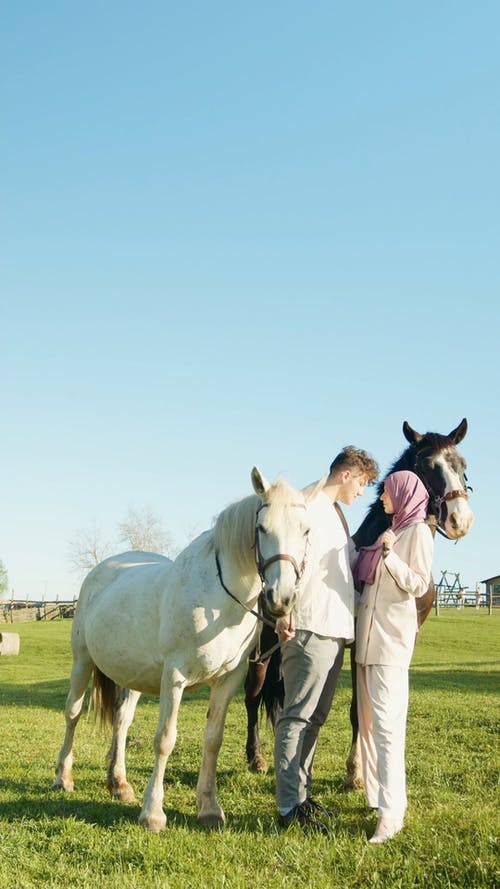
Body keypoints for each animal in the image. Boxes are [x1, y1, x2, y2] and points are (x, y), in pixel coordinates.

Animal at [52, 468, 322, 828]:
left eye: (306, 530)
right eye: (262, 528)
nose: (280, 599)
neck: (219, 602)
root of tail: (101, 570)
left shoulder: (228, 681)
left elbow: (213, 740)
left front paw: (209, 808)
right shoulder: (175, 676)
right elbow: (165, 740)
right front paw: (153, 813)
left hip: (132, 675)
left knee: (121, 722)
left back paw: (119, 783)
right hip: (82, 662)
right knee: (73, 713)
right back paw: (63, 777)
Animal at [244, 416, 474, 776]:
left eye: (462, 465)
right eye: (427, 464)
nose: (459, 520)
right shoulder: (359, 646)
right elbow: (356, 708)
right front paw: (355, 772)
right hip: (263, 644)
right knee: (253, 694)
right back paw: (256, 756)